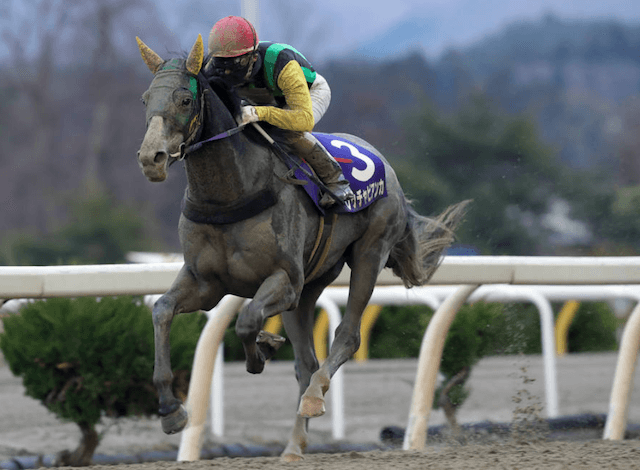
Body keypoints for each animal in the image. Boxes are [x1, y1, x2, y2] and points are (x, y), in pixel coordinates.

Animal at [135, 34, 469, 461]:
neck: (230, 193)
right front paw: (170, 409)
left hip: (369, 253)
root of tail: (388, 170)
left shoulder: (284, 279)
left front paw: (260, 353)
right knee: (305, 362)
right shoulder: (205, 282)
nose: (151, 158)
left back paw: (313, 397)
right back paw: (293, 445)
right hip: (312, 284)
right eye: (146, 98)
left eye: (184, 99)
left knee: (346, 337)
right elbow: (162, 310)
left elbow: (246, 321)